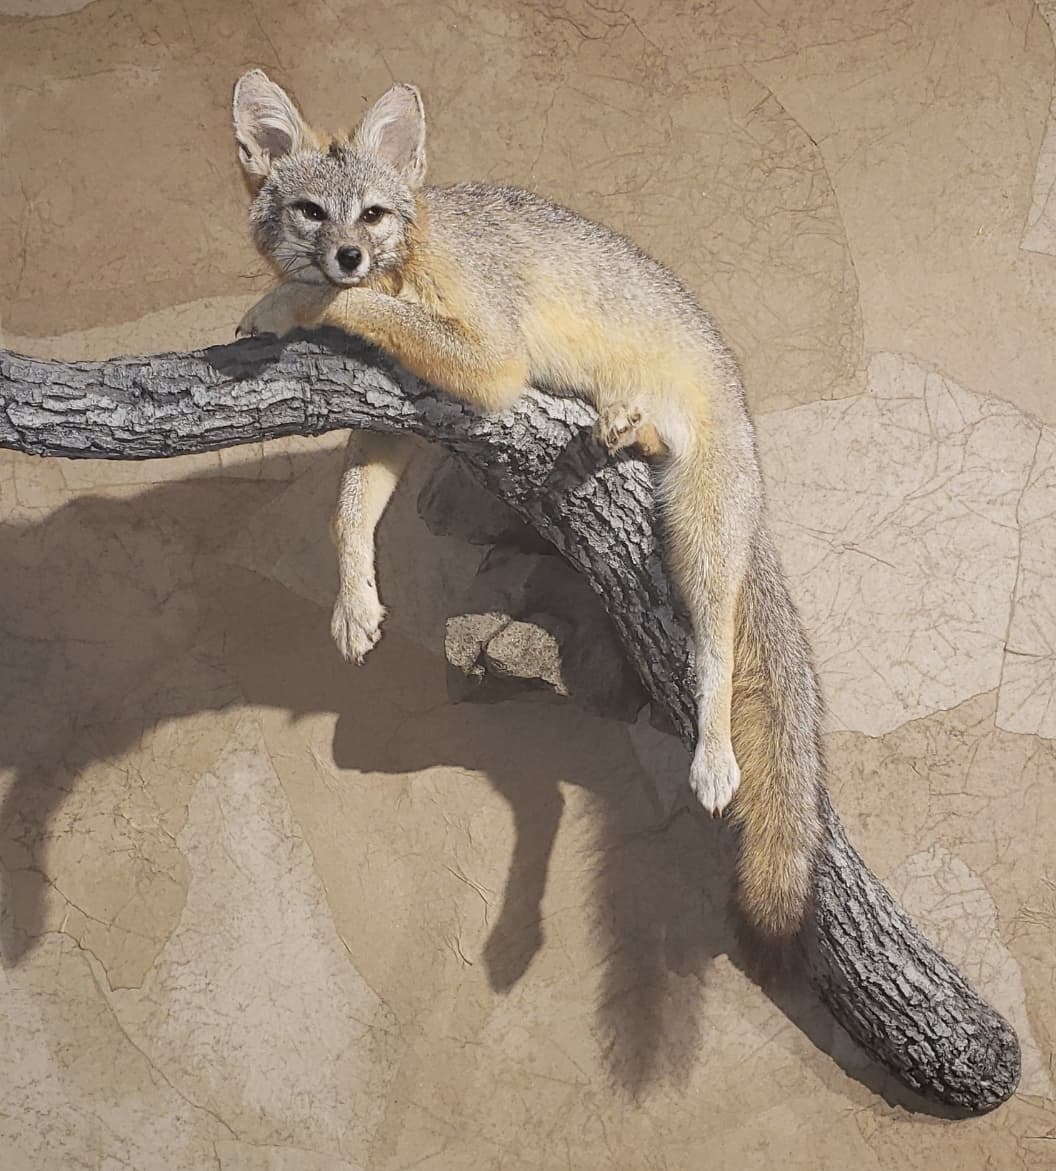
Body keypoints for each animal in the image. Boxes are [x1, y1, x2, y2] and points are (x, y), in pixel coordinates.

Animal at [232, 71, 824, 936]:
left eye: (371, 215)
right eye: (313, 211)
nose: (347, 256)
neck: (414, 248)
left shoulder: (491, 360)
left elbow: (356, 307)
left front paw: (283, 304)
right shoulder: (395, 410)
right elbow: (348, 509)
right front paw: (354, 602)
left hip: (702, 541)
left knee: (715, 649)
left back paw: (715, 756)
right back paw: (625, 423)